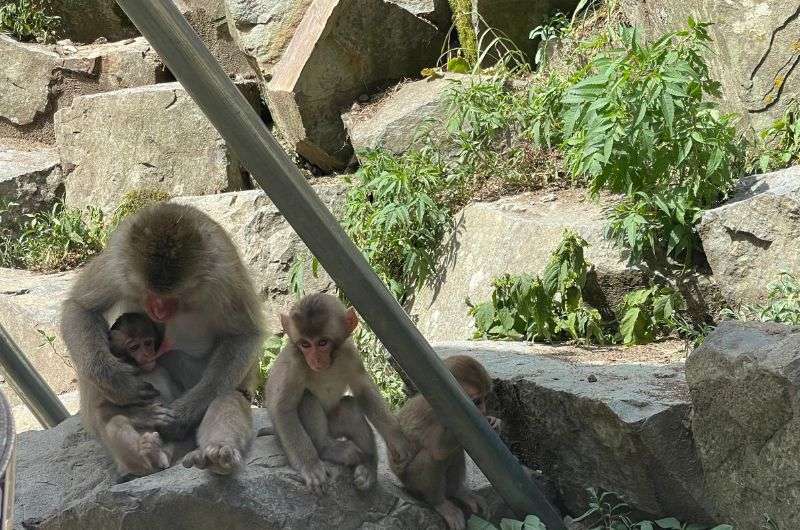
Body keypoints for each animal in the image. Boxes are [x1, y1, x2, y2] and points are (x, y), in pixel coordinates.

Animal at [61, 203, 266, 474]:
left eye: (171, 297)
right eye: (150, 293)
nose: (158, 311)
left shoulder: (225, 276)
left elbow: (244, 334)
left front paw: (182, 416)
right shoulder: (117, 263)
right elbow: (81, 308)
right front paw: (120, 383)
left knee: (226, 393)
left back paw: (216, 453)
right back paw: (140, 451)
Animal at [266, 290, 412, 492]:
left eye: (322, 342)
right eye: (305, 344)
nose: (315, 359)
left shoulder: (349, 352)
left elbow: (363, 390)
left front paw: (397, 440)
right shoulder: (295, 362)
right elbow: (283, 409)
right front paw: (310, 465)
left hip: (334, 425)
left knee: (350, 407)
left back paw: (368, 466)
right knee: (307, 398)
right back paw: (326, 449)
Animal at [388, 352, 500, 528]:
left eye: (485, 398)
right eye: (477, 401)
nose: (482, 410)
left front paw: (493, 421)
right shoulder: (437, 414)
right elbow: (437, 450)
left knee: (455, 452)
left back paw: (458, 492)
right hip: (410, 481)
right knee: (431, 458)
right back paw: (439, 503)